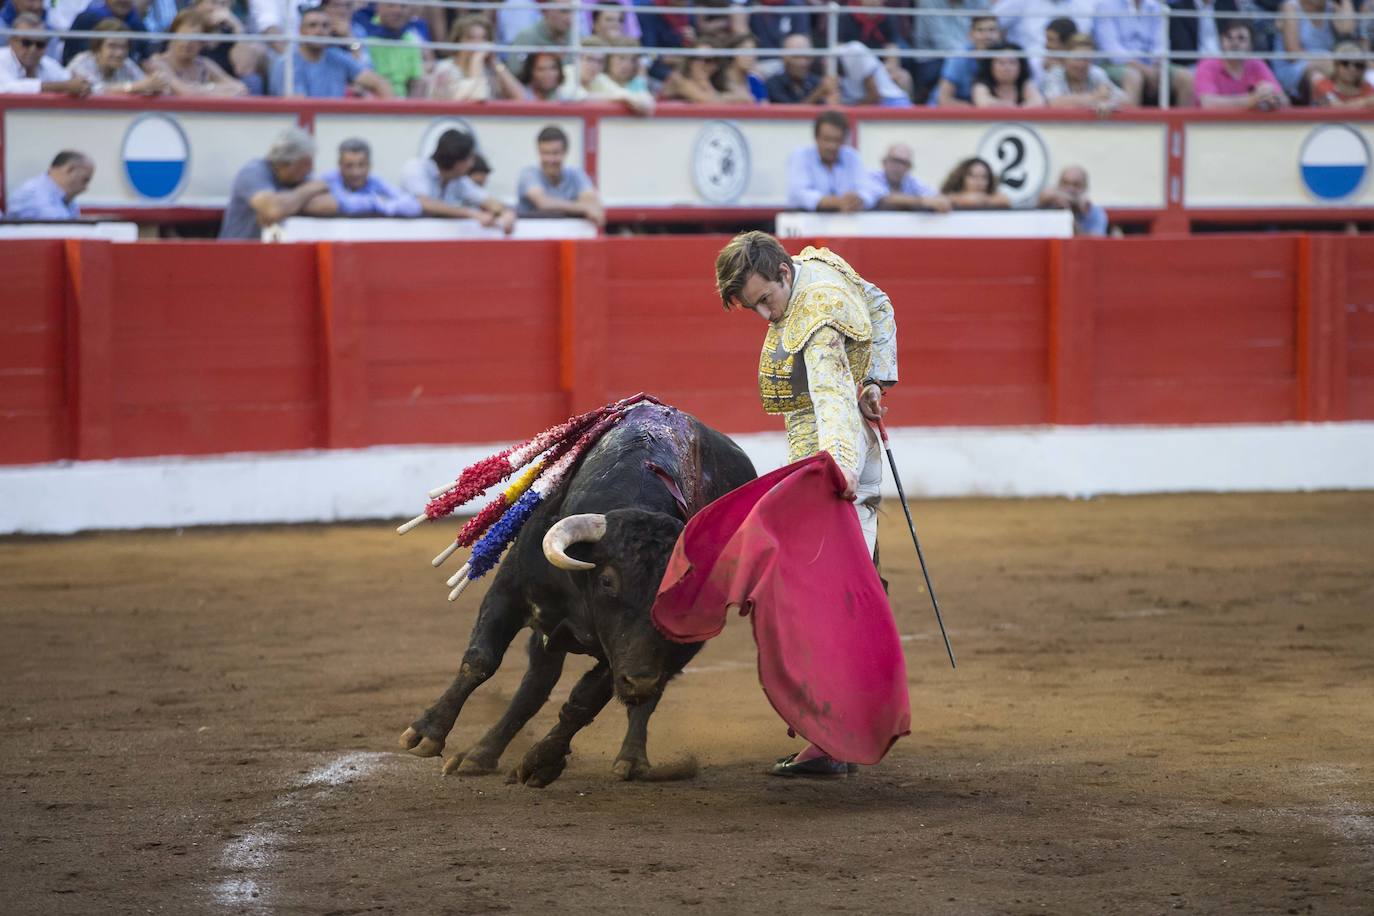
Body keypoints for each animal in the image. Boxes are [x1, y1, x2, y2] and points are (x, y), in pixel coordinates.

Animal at [398, 403, 763, 791]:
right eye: (607, 581)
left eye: (678, 590)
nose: (641, 679)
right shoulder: (510, 592)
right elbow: (481, 660)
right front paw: (427, 734)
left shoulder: (624, 654)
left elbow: (584, 701)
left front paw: (540, 763)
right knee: (534, 687)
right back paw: (480, 755)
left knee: (641, 694)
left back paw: (630, 759)